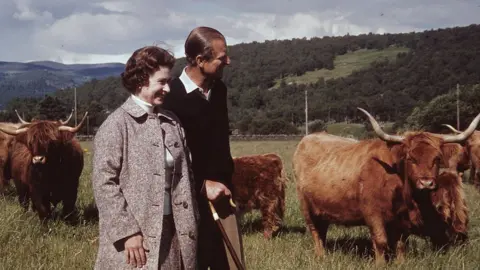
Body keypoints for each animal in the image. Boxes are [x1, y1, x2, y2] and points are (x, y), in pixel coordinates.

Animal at [294, 107, 478, 264]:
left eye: (437, 158)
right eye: (410, 158)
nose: (426, 183)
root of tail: (309, 137)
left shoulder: (403, 218)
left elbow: (401, 243)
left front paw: (401, 262)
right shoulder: (372, 213)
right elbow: (381, 241)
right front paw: (380, 263)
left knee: (323, 230)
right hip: (306, 206)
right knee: (315, 231)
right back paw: (321, 256)